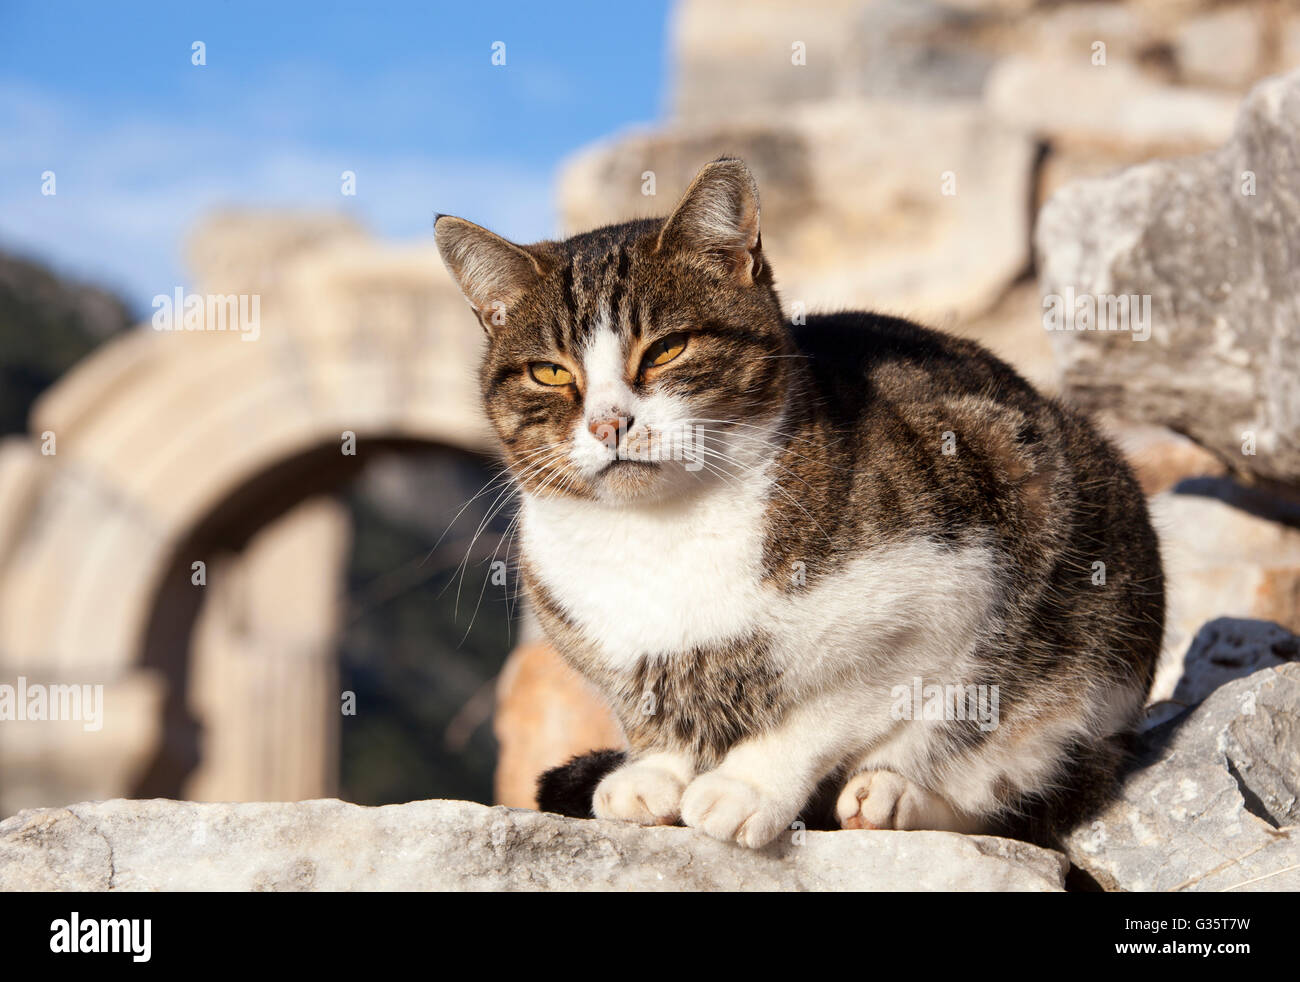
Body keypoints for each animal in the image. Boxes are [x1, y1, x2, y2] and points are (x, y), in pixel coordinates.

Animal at [434, 157, 1159, 848]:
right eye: (550, 372)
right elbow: (658, 717)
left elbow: (823, 710)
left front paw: (746, 787)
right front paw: (653, 774)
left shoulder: (945, 594)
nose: (610, 423)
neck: (656, 534)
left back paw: (894, 796)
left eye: (667, 348)